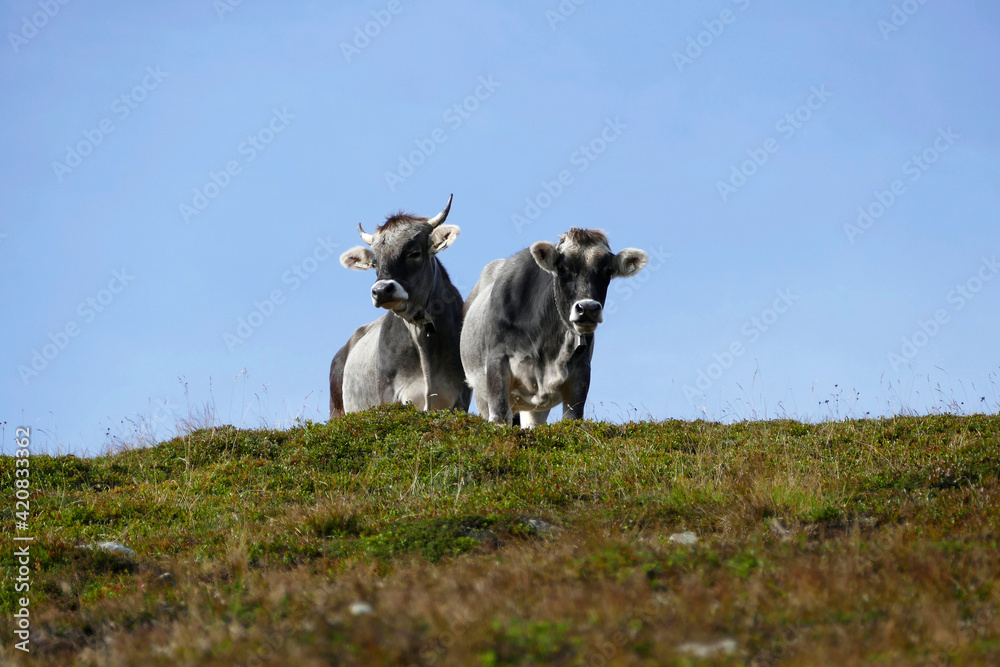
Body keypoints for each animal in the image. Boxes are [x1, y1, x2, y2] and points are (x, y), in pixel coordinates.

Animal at [460, 228, 648, 426]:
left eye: (608, 270)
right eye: (562, 268)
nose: (588, 308)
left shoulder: (581, 372)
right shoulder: (497, 363)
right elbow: (500, 417)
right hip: (480, 392)